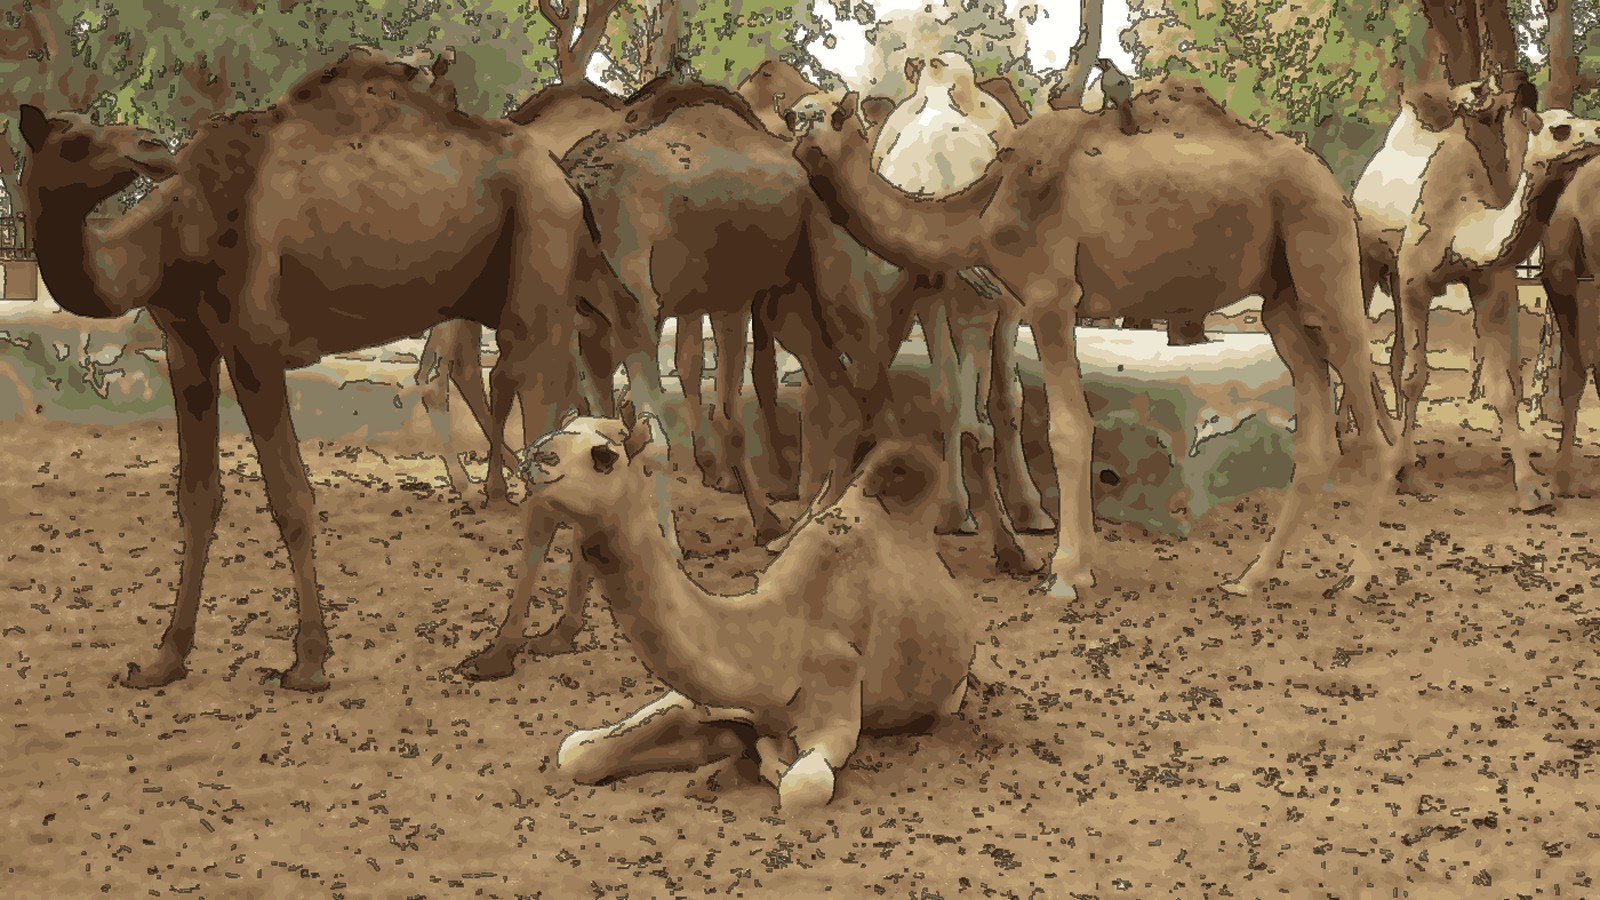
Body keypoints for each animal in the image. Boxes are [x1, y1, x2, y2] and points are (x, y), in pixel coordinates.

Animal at [16, 48, 618, 692]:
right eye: (75, 137)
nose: (152, 145)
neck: (178, 230)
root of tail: (564, 181)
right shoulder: (186, 347)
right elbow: (197, 497)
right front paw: (164, 659)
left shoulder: (253, 346)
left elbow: (291, 500)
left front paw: (308, 661)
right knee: (583, 430)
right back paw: (560, 632)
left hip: (537, 283)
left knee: (548, 469)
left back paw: (499, 650)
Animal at [528, 403, 981, 810]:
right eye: (559, 429)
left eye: (603, 456)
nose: (533, 457)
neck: (775, 634)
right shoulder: (702, 696)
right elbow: (575, 751)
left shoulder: (837, 695)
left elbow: (800, 787)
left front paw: (771, 760)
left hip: (949, 693)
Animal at [791, 76, 1408, 599]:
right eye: (798, 108)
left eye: (829, 112)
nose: (796, 126)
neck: (987, 202)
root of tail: (1335, 186)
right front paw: (1074, 564)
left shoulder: (1049, 296)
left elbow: (1068, 430)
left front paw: (1065, 572)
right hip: (1282, 301)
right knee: (1317, 438)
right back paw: (1252, 577)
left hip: (1324, 260)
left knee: (1375, 423)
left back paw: (1356, 578)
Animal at [1352, 70, 1600, 510]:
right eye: (1561, 129)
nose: (1520, 78)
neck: (1462, 218)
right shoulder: (1415, 281)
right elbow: (1415, 376)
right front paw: (1399, 473)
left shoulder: (1489, 284)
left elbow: (1503, 386)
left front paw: (1531, 487)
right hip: (1365, 258)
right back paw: (1374, 448)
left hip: (1393, 280)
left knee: (1392, 354)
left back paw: (1399, 445)